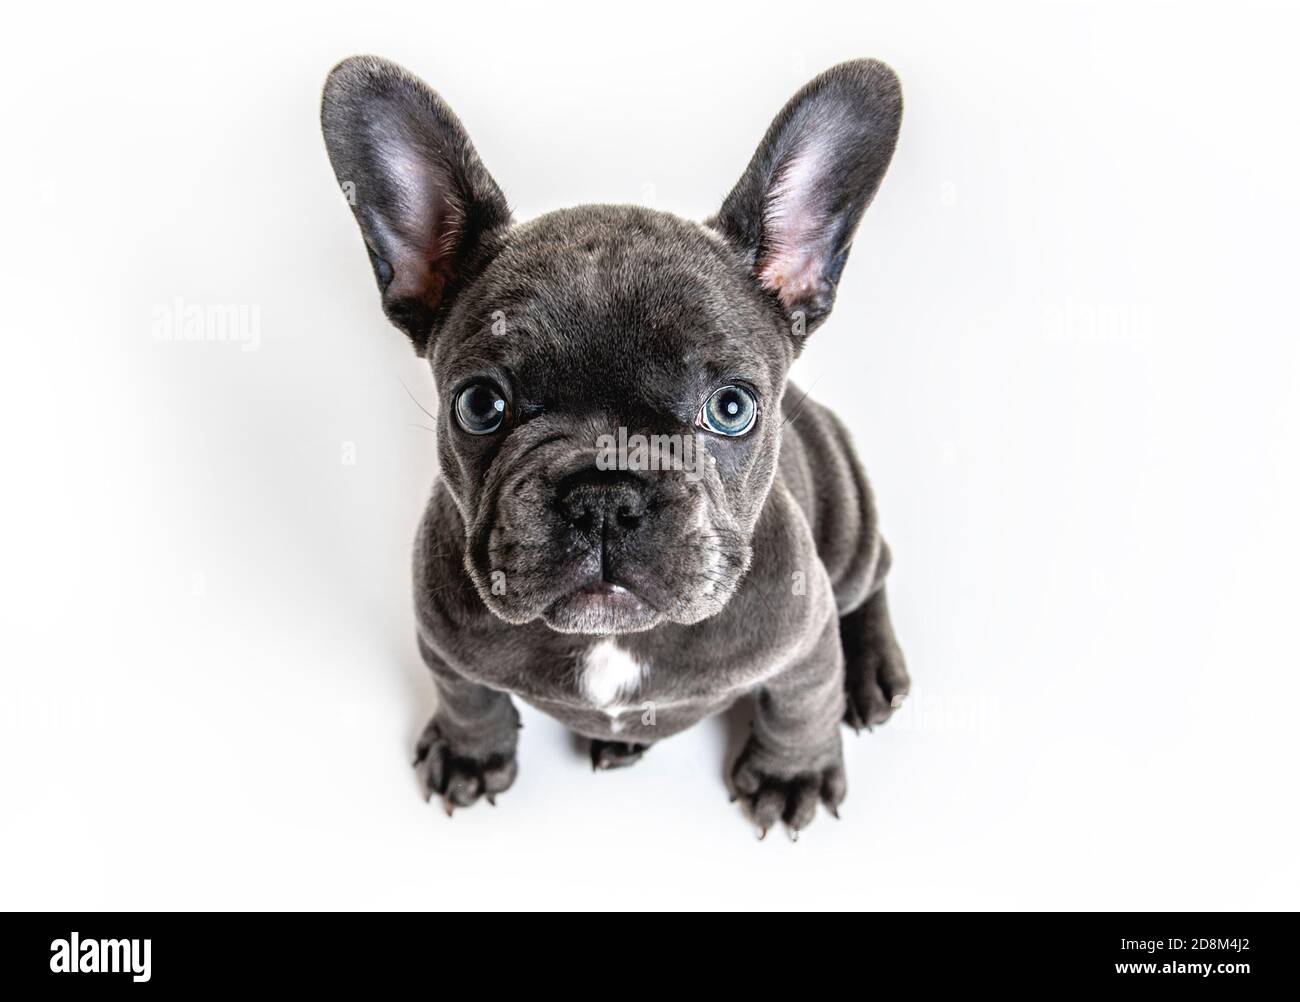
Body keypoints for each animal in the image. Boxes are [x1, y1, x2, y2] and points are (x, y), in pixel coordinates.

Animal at [323, 54, 909, 836]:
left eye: (732, 408)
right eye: (480, 404)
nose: (604, 494)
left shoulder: (805, 638)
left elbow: (803, 700)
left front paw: (796, 773)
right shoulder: (441, 641)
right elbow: (466, 695)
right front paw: (472, 752)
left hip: (846, 521)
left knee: (873, 576)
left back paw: (872, 670)